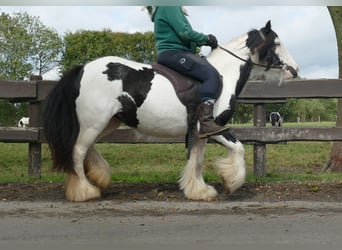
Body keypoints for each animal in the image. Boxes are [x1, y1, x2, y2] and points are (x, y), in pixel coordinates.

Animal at [43, 21, 300, 201]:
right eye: (277, 43)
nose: (295, 69)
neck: (223, 74)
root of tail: (83, 68)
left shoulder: (199, 133)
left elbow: (197, 161)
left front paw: (199, 191)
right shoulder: (215, 128)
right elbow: (238, 149)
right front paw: (231, 182)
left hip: (106, 123)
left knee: (87, 149)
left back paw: (99, 177)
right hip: (94, 123)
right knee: (77, 152)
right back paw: (85, 191)